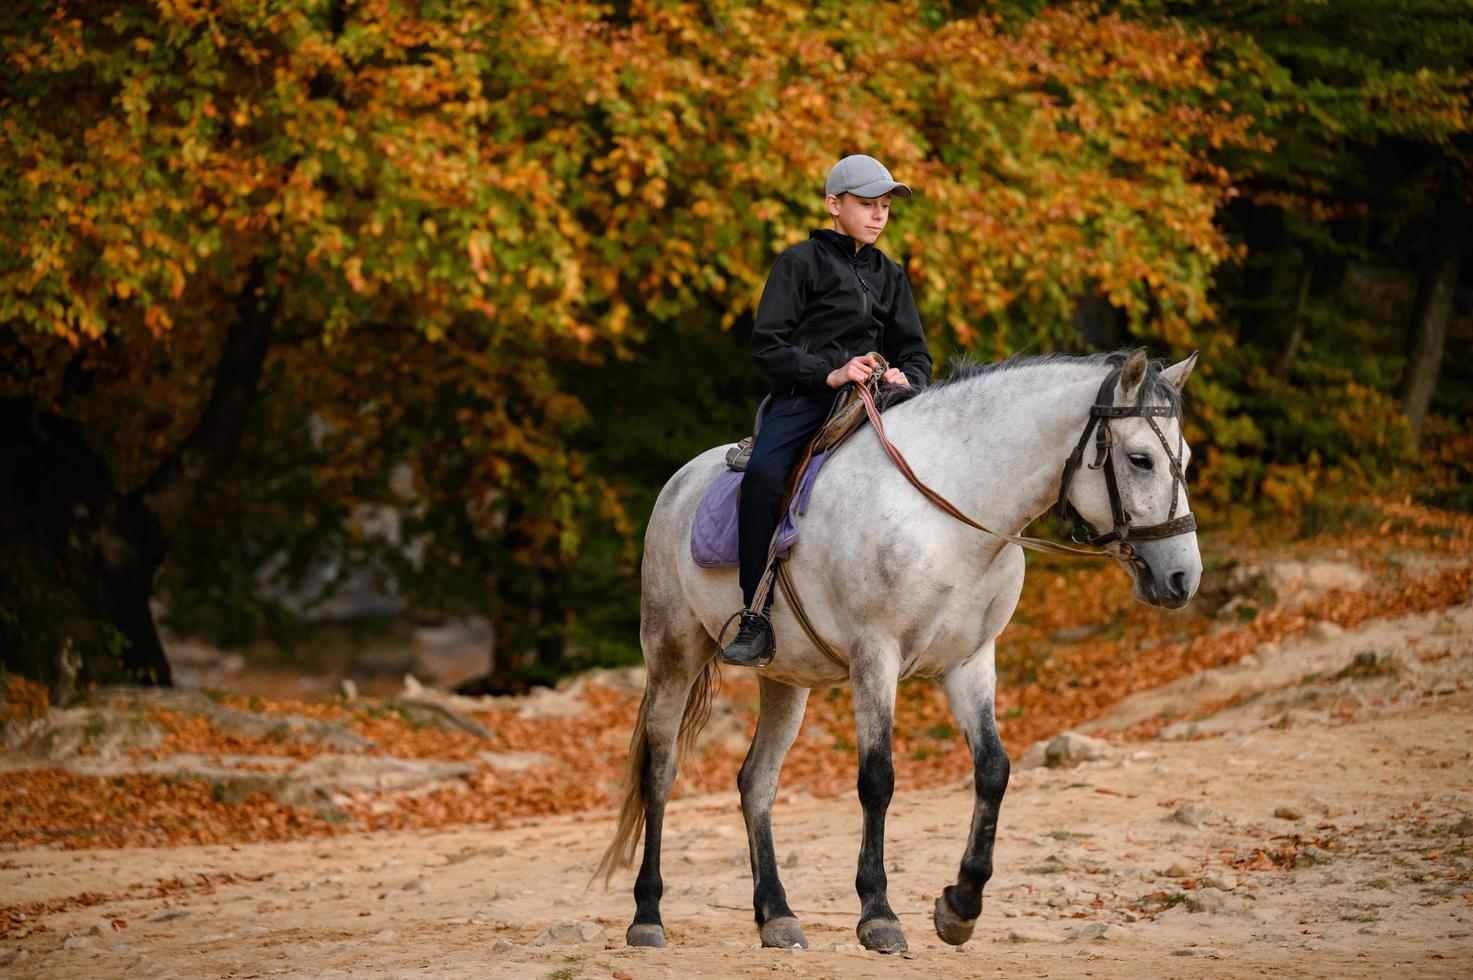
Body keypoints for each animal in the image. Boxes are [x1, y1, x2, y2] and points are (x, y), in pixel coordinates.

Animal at [592, 347, 1201, 949]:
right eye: (1141, 460)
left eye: (1186, 459)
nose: (1183, 579)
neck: (948, 516)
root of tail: (681, 481)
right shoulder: (875, 654)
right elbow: (877, 779)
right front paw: (878, 913)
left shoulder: (970, 661)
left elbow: (993, 769)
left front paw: (960, 907)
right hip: (672, 655)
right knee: (659, 775)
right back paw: (647, 917)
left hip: (785, 680)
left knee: (756, 781)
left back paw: (778, 915)